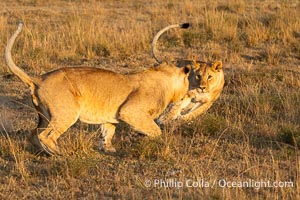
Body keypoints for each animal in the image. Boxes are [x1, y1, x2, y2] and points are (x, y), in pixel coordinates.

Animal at [5, 23, 192, 155]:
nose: (187, 95)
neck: (163, 74)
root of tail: (38, 79)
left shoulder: (111, 117)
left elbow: (108, 131)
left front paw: (107, 148)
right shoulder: (130, 111)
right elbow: (155, 129)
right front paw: (145, 135)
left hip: (44, 116)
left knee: (33, 135)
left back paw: (44, 152)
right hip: (66, 113)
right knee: (46, 135)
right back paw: (58, 152)